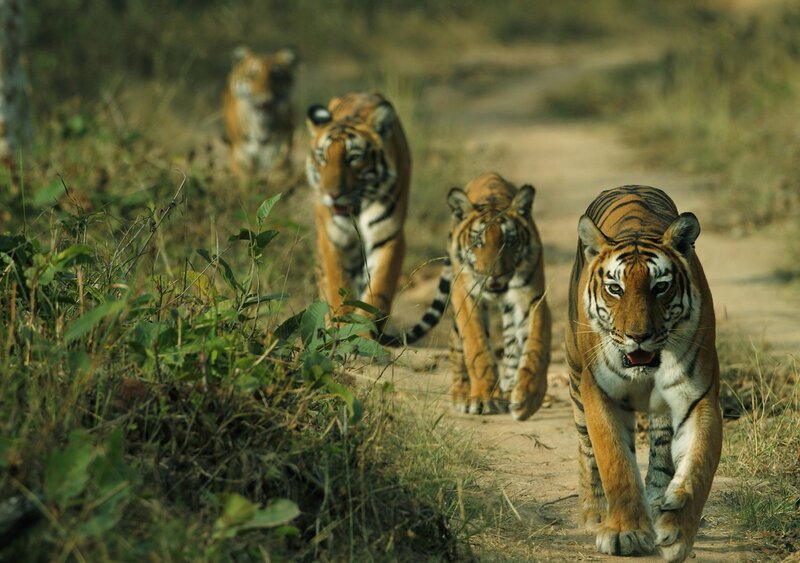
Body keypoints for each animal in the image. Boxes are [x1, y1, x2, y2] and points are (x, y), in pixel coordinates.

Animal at [223, 46, 298, 177]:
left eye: (276, 76)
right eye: (252, 75)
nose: (265, 96)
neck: (261, 128)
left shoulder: (280, 155)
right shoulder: (241, 156)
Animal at [305, 92, 411, 325]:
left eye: (353, 158)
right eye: (323, 157)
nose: (332, 194)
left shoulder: (387, 237)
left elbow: (378, 291)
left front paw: (363, 328)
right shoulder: (334, 240)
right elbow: (338, 286)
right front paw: (341, 324)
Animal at [382, 172, 551, 422]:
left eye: (509, 240)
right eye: (478, 241)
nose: (495, 274)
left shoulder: (532, 298)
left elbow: (536, 346)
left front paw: (528, 398)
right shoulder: (467, 296)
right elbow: (477, 347)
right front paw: (484, 397)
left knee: (512, 343)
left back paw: (508, 388)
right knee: (456, 343)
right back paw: (462, 394)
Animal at [565, 185, 722, 562]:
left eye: (660, 287)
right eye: (615, 288)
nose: (638, 335)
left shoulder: (699, 398)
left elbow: (698, 465)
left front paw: (677, 530)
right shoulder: (600, 393)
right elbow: (614, 461)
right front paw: (625, 533)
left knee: (662, 446)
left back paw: (657, 498)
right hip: (575, 374)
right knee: (586, 447)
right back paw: (593, 512)